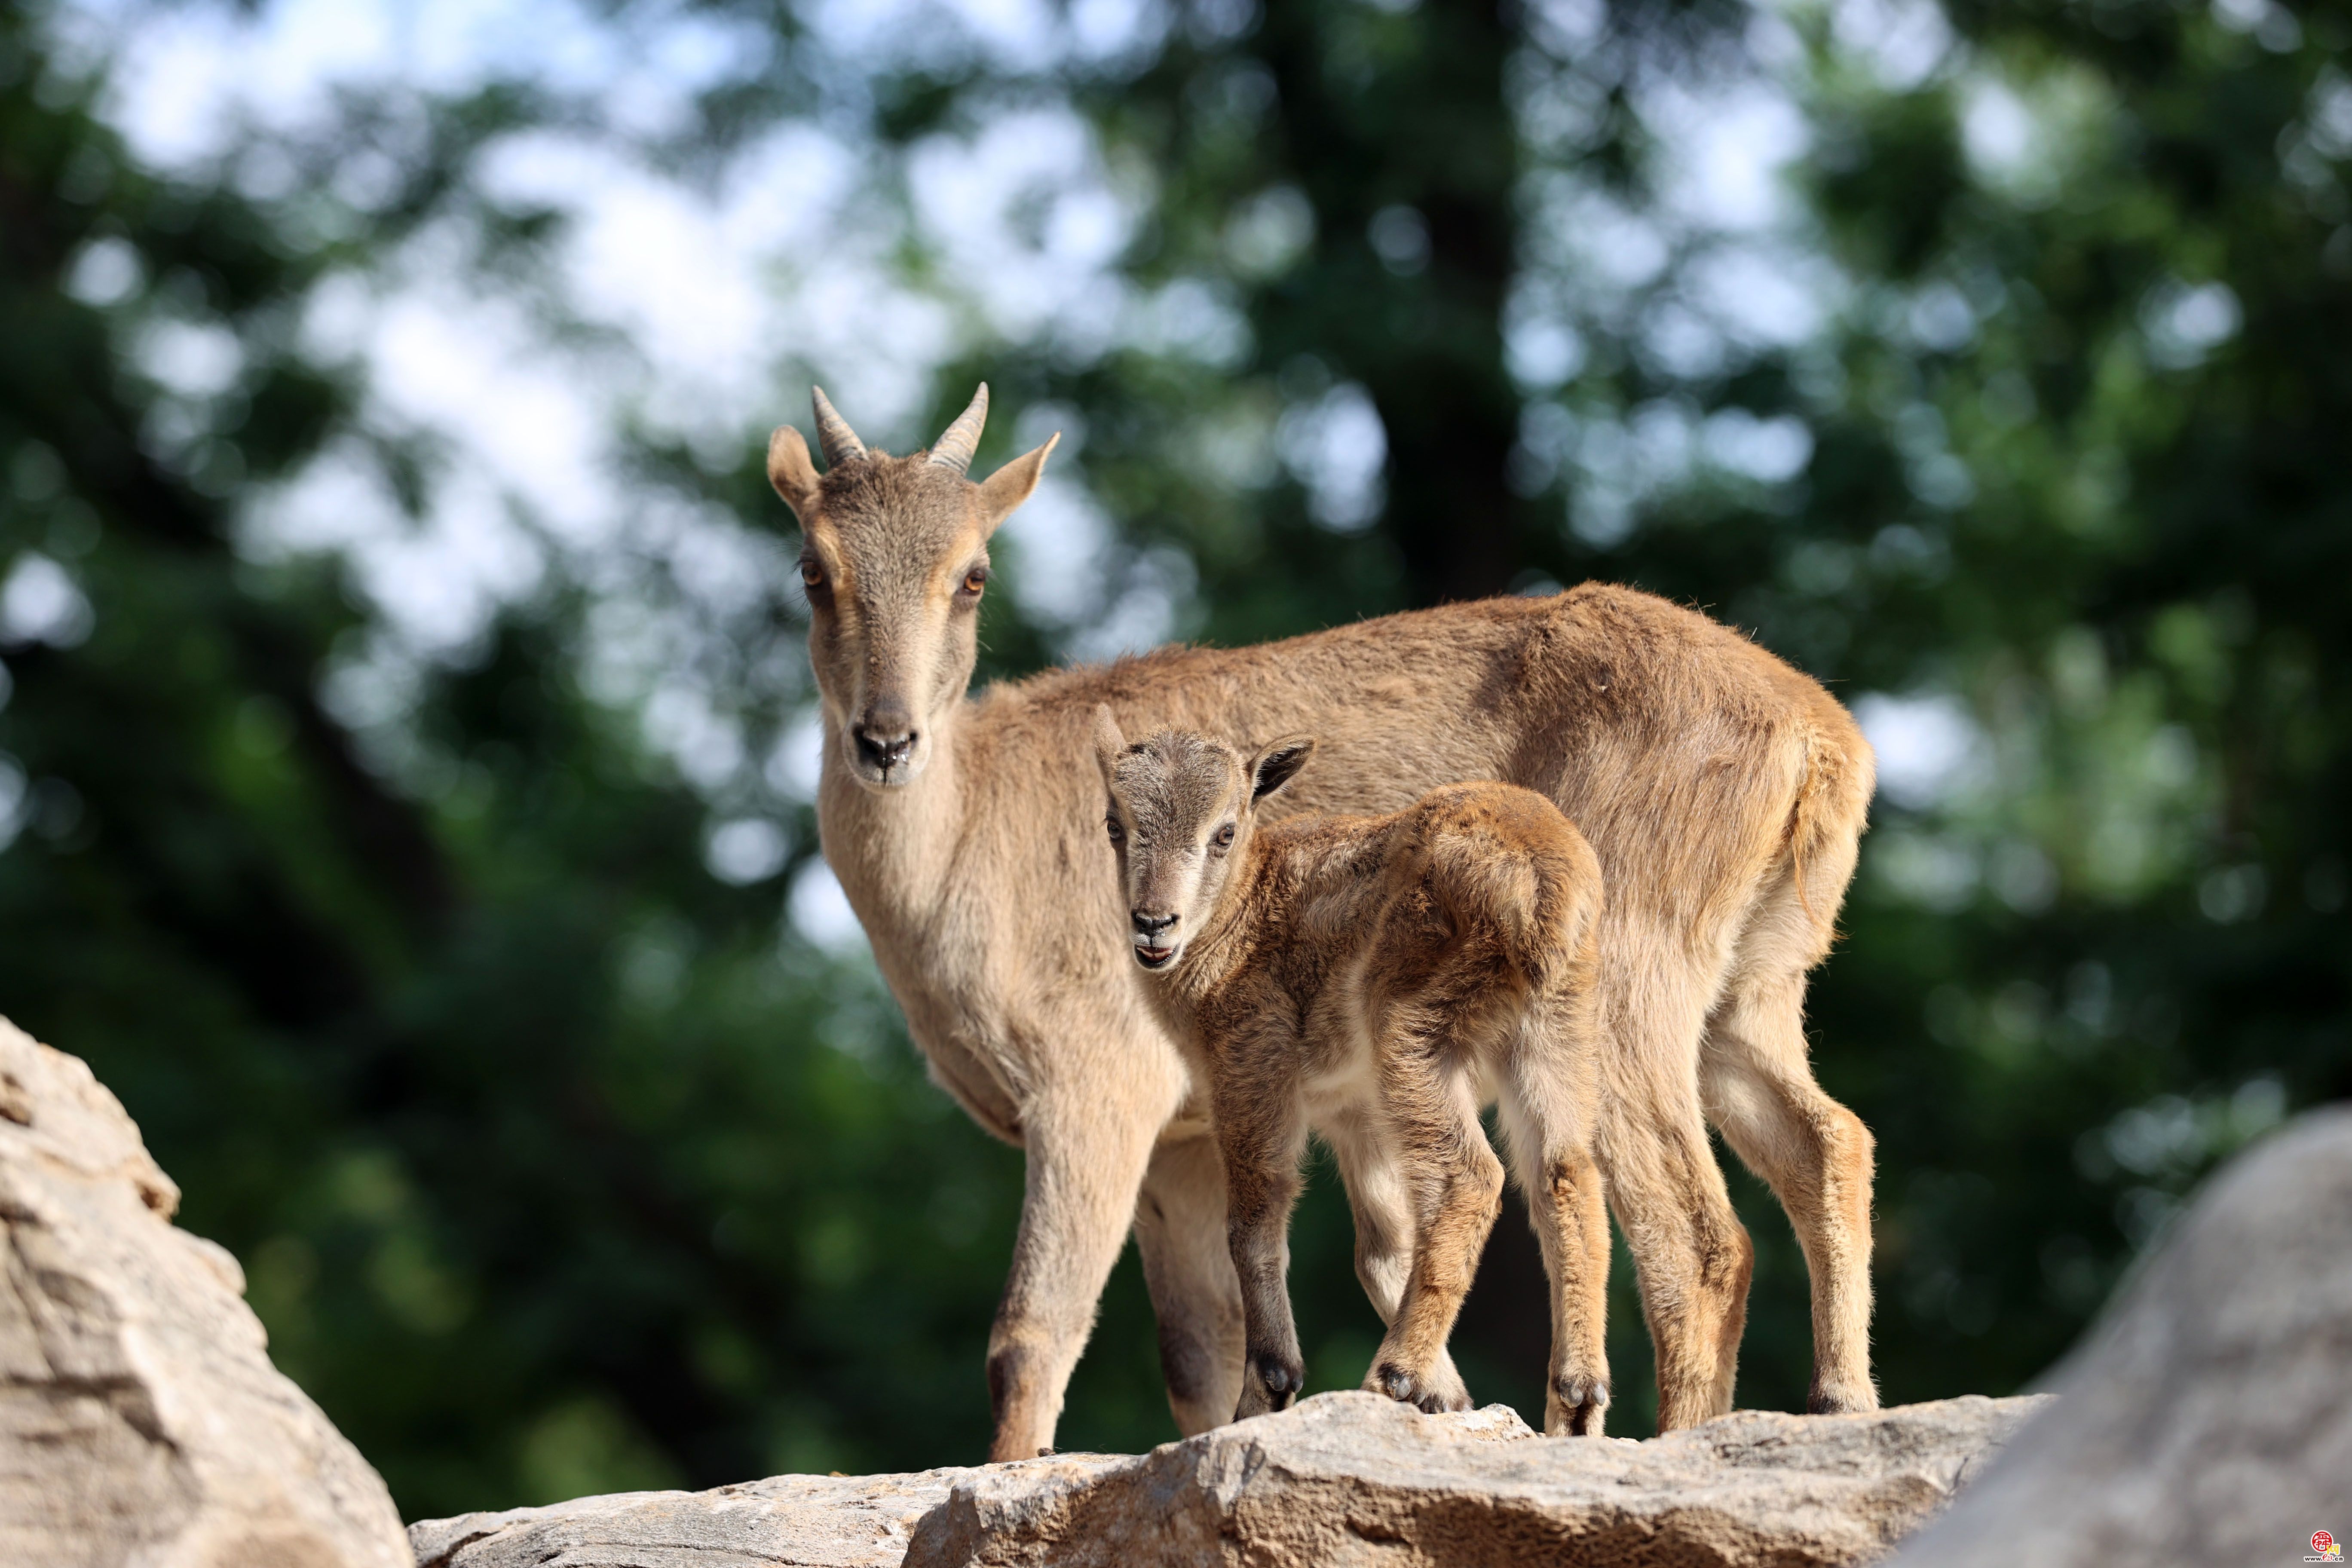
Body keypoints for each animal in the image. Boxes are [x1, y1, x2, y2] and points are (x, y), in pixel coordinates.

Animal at [771, 383, 1872, 1457]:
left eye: (973, 573)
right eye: (812, 568)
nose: (885, 739)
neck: (966, 845)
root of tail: (1821, 738)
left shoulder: (1097, 1090)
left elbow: (1030, 1339)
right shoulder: (1185, 1142)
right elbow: (1197, 1355)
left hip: (1633, 985)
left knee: (1697, 1233)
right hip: (1750, 990)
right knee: (1829, 1141)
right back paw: (1833, 1398)